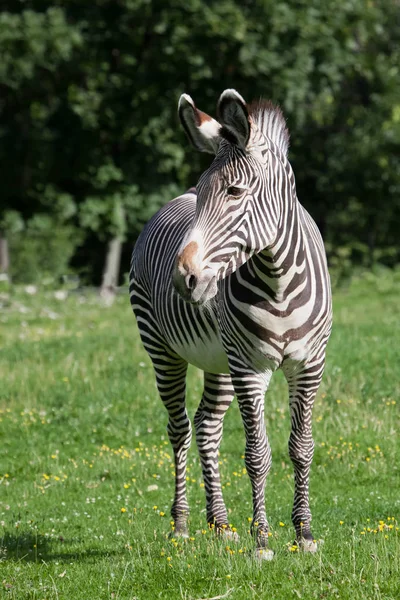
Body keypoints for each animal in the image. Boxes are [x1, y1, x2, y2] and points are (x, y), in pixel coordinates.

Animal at [130, 88, 332, 556]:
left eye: (235, 191)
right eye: (205, 194)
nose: (183, 279)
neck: (278, 279)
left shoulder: (309, 365)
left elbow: (302, 447)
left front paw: (304, 533)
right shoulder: (249, 368)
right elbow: (257, 454)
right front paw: (262, 540)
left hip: (218, 361)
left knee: (207, 427)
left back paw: (220, 523)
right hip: (163, 350)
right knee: (180, 428)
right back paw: (182, 523)